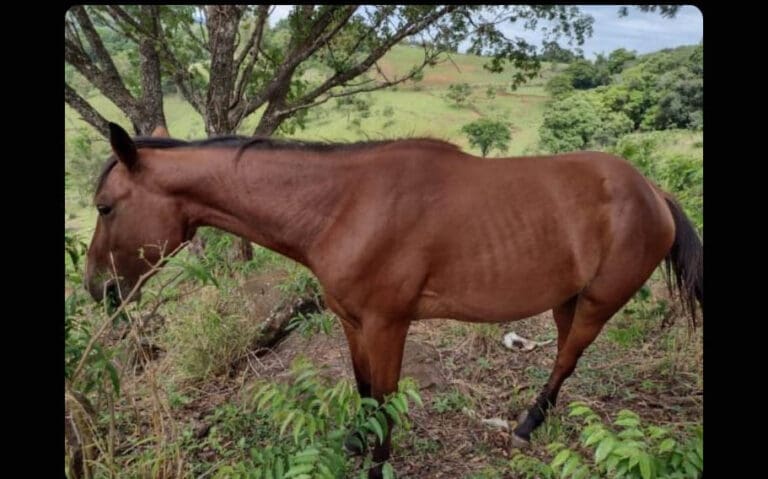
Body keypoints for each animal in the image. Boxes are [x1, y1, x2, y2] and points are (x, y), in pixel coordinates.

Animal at [84, 122, 703, 478]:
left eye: (105, 207)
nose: (96, 288)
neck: (344, 205)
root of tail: (653, 192)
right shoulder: (353, 322)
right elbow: (363, 393)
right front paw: (356, 444)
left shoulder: (388, 326)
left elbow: (384, 401)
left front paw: (377, 465)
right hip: (565, 299)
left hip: (597, 303)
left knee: (568, 358)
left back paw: (527, 425)